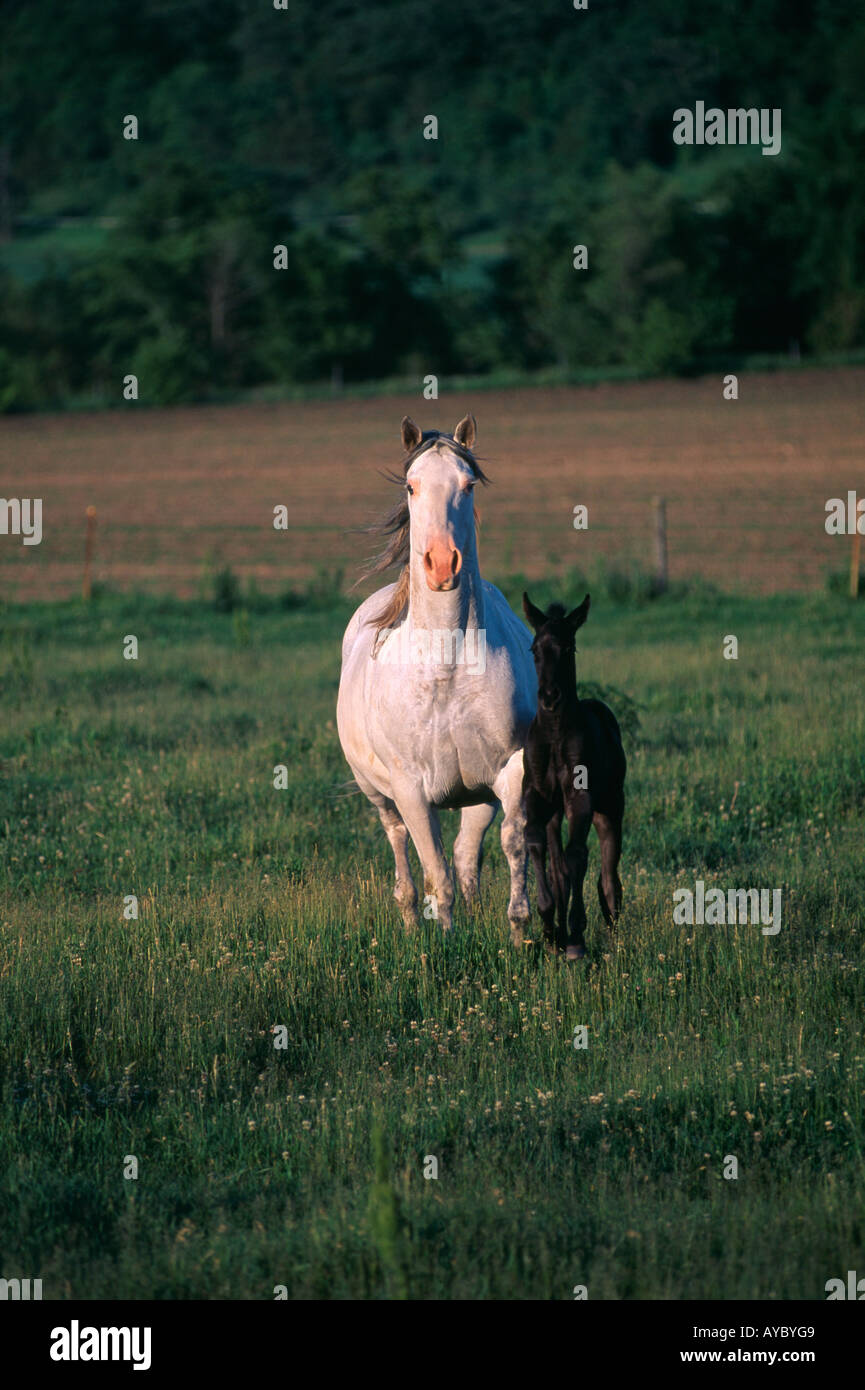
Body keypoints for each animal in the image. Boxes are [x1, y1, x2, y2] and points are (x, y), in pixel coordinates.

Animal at [337, 405, 536, 939]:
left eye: (468, 484)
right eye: (411, 486)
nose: (442, 564)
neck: (447, 665)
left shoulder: (510, 771)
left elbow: (513, 846)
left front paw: (520, 932)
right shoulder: (410, 790)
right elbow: (435, 875)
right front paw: (442, 942)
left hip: (476, 796)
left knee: (467, 859)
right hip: (380, 795)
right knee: (401, 849)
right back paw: (410, 921)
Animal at [522, 592, 623, 961]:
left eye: (569, 648)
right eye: (534, 650)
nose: (550, 697)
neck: (554, 735)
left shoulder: (580, 798)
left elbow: (577, 855)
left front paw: (576, 938)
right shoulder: (537, 796)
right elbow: (536, 843)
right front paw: (550, 928)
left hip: (611, 806)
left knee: (608, 872)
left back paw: (612, 929)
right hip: (556, 813)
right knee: (559, 867)